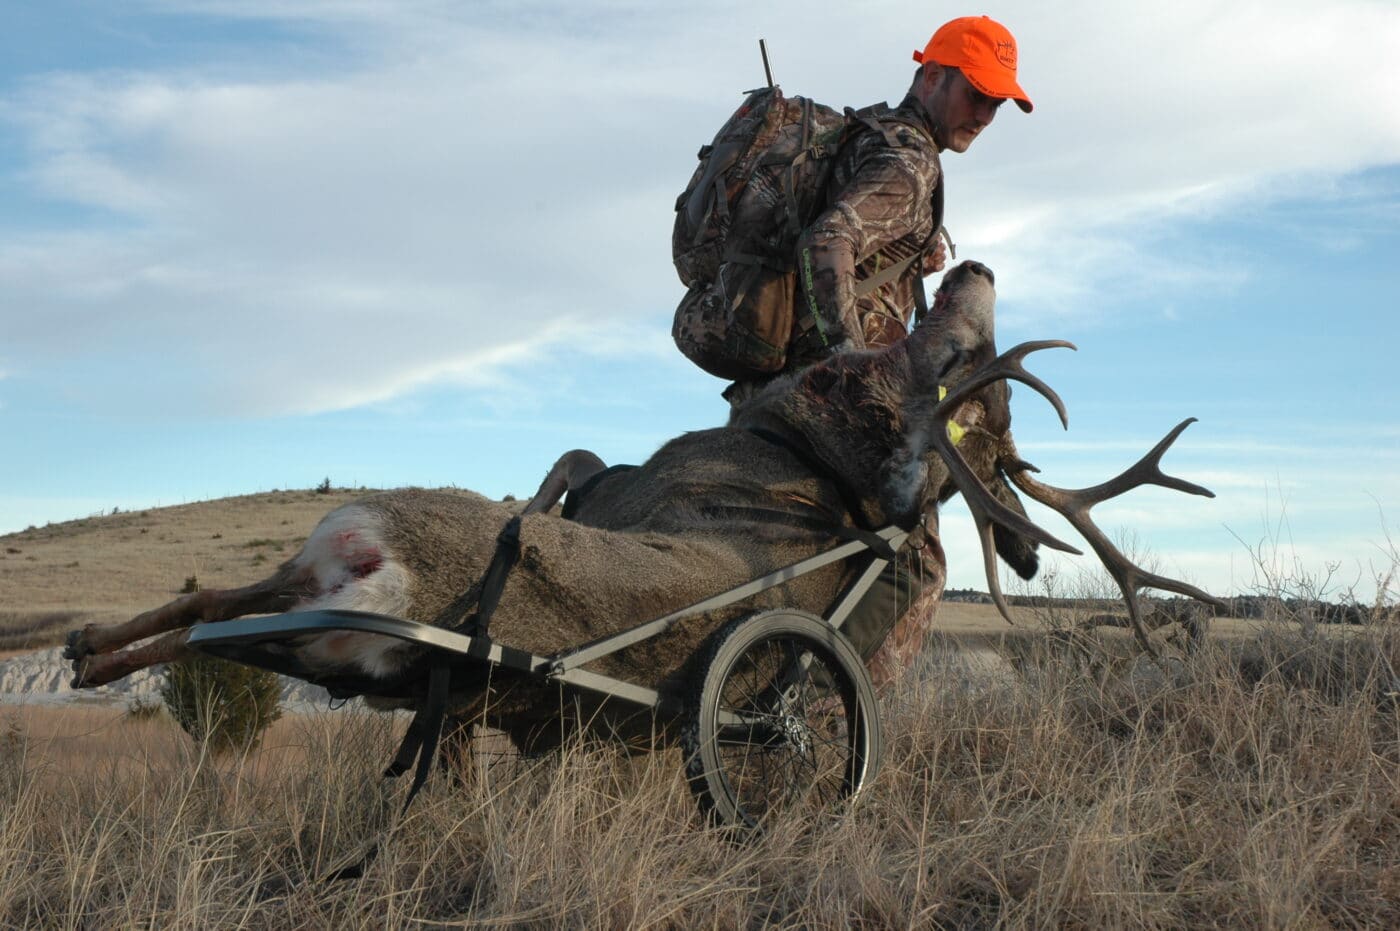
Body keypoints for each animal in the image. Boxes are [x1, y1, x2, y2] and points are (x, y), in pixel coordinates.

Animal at [68, 259, 1226, 750]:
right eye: (960, 374)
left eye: (866, 369)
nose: (975, 267)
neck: (798, 459)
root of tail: (385, 587)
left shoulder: (623, 476)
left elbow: (568, 467)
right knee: (217, 607)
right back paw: (91, 647)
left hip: (351, 551)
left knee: (220, 607)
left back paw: (92, 650)